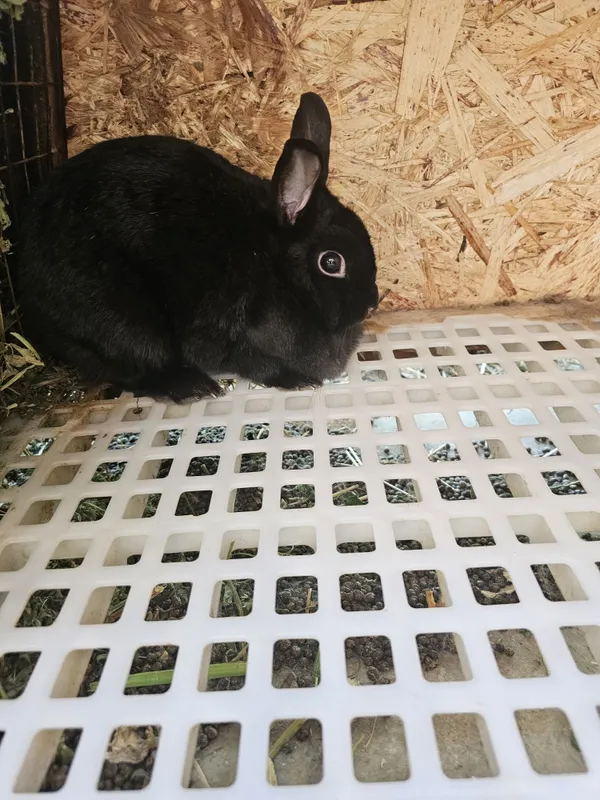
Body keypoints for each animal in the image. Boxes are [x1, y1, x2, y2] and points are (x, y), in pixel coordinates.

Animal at [17, 92, 379, 402]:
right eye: (331, 262)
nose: (372, 303)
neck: (274, 266)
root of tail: (30, 301)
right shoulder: (225, 334)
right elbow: (256, 363)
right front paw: (298, 380)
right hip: (120, 322)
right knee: (136, 370)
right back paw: (194, 387)